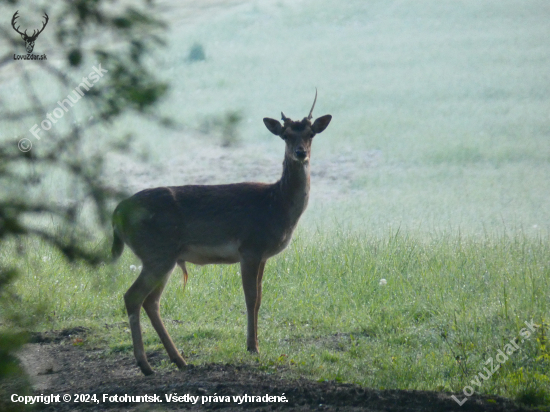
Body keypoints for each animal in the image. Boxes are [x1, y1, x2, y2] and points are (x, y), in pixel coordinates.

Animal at [112, 91, 332, 374]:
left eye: (310, 133)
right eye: (285, 135)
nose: (300, 152)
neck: (277, 205)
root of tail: (116, 212)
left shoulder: (262, 255)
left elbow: (260, 297)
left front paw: (254, 343)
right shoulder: (250, 246)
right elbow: (251, 298)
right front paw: (252, 347)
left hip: (163, 257)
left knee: (151, 301)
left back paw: (179, 359)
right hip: (155, 252)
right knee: (133, 296)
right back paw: (145, 364)